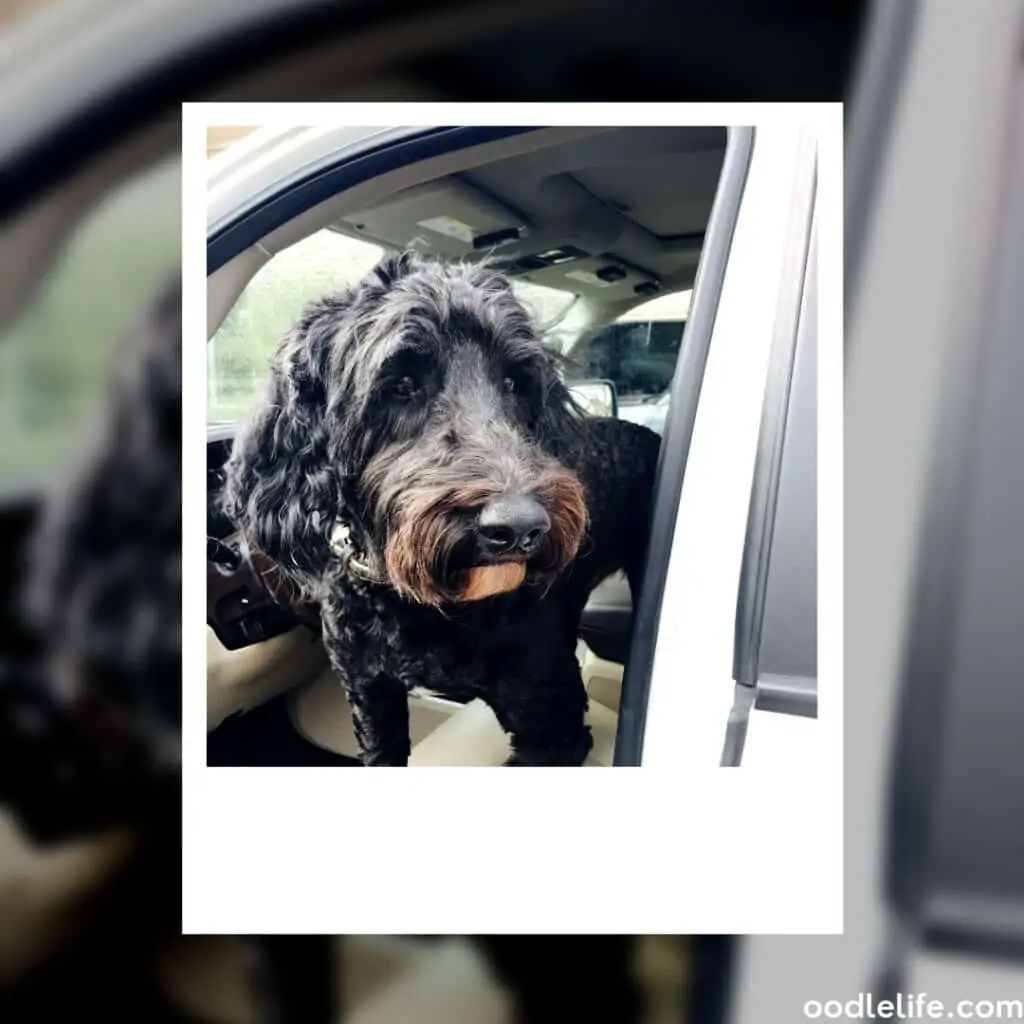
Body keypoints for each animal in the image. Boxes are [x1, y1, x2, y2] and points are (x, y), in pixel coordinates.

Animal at [222, 253, 663, 770]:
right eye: (402, 384)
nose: (520, 527)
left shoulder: (552, 722)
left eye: (514, 382)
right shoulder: (371, 695)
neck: (419, 603)